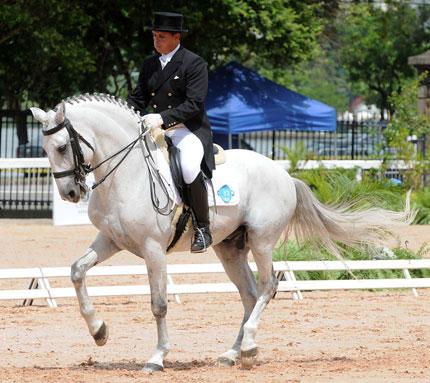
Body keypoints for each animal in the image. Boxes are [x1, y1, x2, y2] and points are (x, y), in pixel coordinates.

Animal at [31, 95, 414, 372]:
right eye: (45, 150)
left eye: (62, 147)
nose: (70, 193)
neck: (128, 174)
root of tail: (283, 173)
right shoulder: (112, 240)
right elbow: (77, 271)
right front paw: (99, 331)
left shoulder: (153, 249)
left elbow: (158, 304)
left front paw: (157, 358)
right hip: (230, 248)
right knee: (249, 294)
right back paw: (232, 353)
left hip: (262, 240)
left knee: (268, 287)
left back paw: (250, 347)